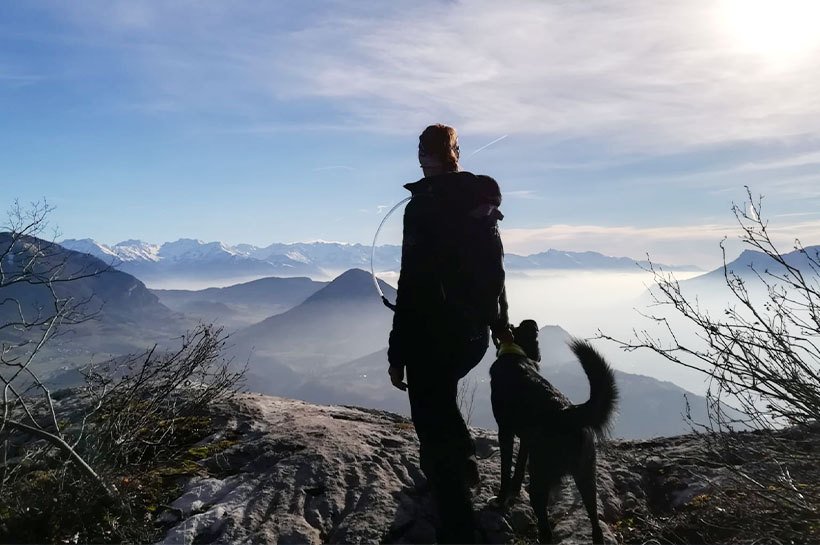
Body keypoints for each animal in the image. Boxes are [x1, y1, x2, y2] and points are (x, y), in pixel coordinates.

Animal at [490, 318, 620, 544]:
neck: (514, 353)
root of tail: (569, 412)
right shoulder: (526, 439)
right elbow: (519, 467)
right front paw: (515, 490)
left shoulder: (505, 431)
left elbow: (506, 470)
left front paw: (501, 499)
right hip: (587, 475)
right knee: (596, 524)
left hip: (541, 479)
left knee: (546, 531)